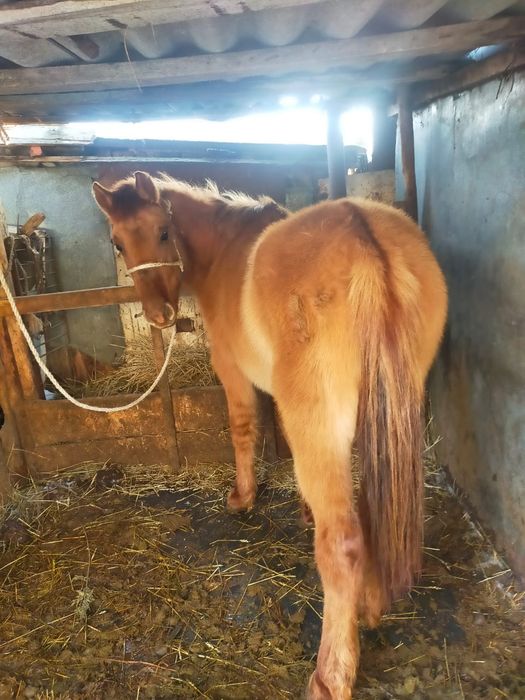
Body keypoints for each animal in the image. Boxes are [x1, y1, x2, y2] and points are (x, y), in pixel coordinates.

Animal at [92, 171, 447, 699]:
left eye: (162, 231)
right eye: (118, 241)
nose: (158, 315)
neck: (225, 249)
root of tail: (365, 241)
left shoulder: (234, 373)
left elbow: (244, 429)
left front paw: (243, 496)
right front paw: (302, 508)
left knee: (343, 543)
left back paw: (331, 673)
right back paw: (370, 604)